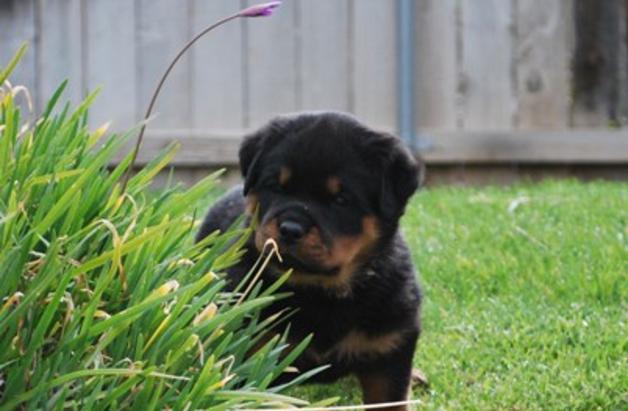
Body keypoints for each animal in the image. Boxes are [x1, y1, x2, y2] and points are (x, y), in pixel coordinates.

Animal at [196, 112, 423, 410]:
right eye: (275, 186)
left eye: (341, 199)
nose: (290, 228)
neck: (323, 292)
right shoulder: (257, 357)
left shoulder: (388, 353)